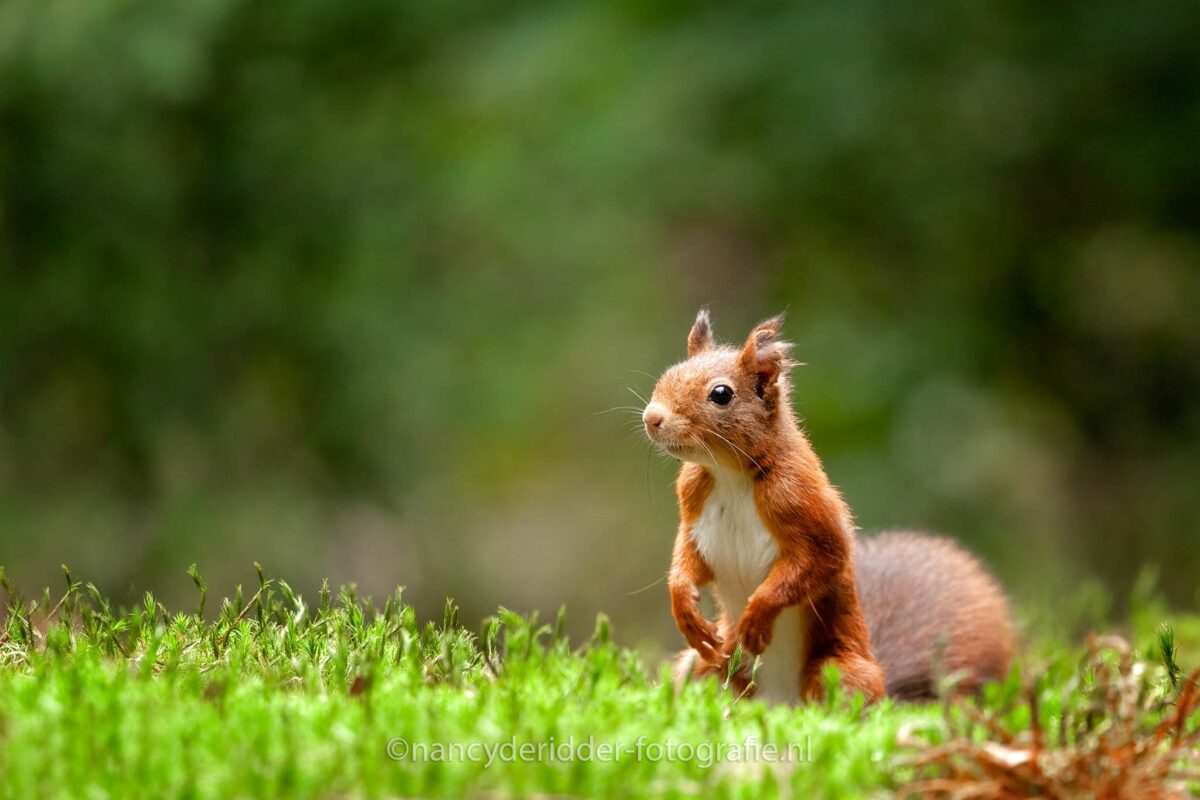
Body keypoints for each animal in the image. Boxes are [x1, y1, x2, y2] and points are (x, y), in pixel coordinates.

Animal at [641, 309, 1015, 703]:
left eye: (721, 394)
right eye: (669, 372)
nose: (652, 417)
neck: (729, 475)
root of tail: (779, 702)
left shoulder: (800, 501)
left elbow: (822, 558)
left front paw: (757, 615)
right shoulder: (693, 502)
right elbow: (687, 556)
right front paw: (685, 608)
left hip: (842, 672)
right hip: (708, 665)